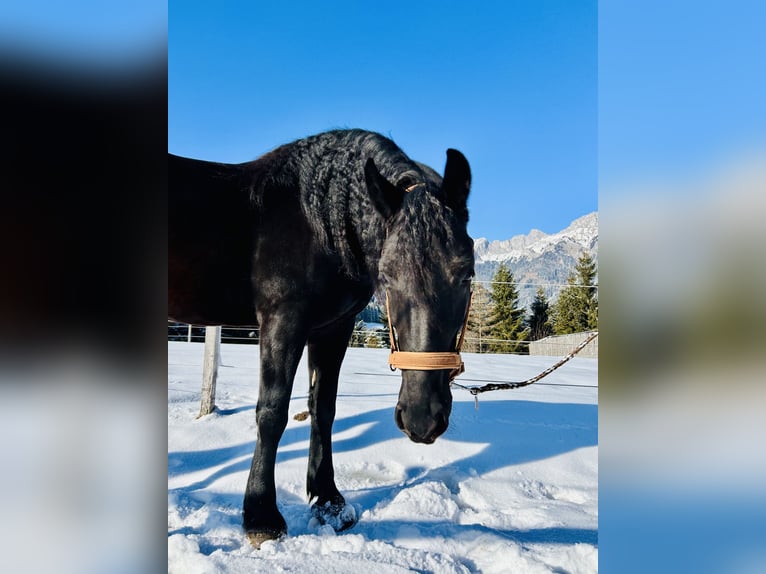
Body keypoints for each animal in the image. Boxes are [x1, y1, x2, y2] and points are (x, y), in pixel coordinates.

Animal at [170, 130, 474, 548]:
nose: (421, 418)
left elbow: (323, 408)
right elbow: (272, 413)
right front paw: (261, 516)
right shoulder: (283, 320)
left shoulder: (334, 328)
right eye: (388, 276)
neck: (317, 226)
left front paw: (328, 502)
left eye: (466, 274)